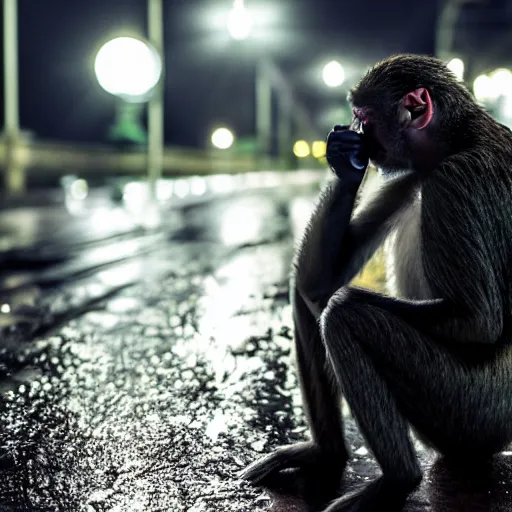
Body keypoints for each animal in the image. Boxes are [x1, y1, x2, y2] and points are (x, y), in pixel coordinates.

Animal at [241, 54, 512, 510]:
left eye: (365, 117)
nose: (356, 132)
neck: (461, 139)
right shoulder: (409, 175)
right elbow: (319, 280)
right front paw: (346, 168)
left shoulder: (453, 180)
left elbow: (477, 321)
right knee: (308, 293)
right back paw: (327, 453)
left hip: (470, 412)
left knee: (344, 315)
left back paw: (398, 481)